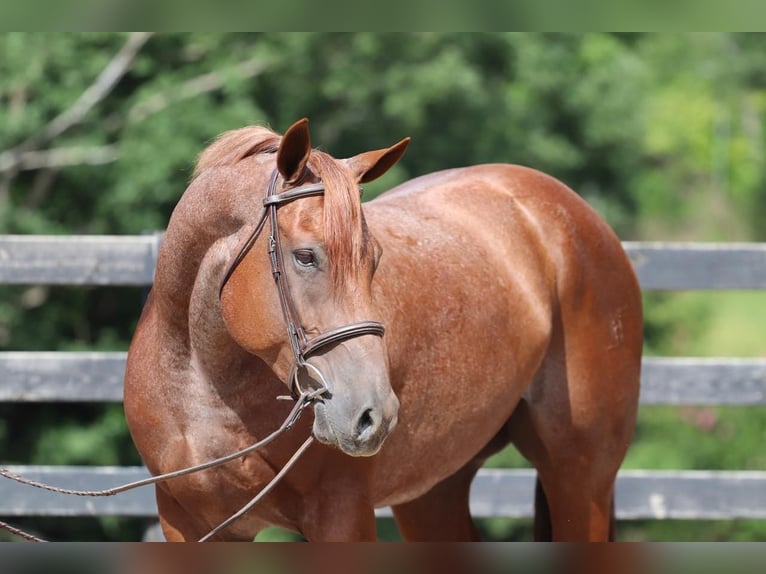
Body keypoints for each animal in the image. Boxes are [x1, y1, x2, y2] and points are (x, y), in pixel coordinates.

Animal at [124, 118, 640, 544]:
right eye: (305, 256)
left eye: (373, 260)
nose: (374, 413)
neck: (205, 388)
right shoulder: (187, 524)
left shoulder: (340, 515)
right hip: (433, 493)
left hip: (580, 479)